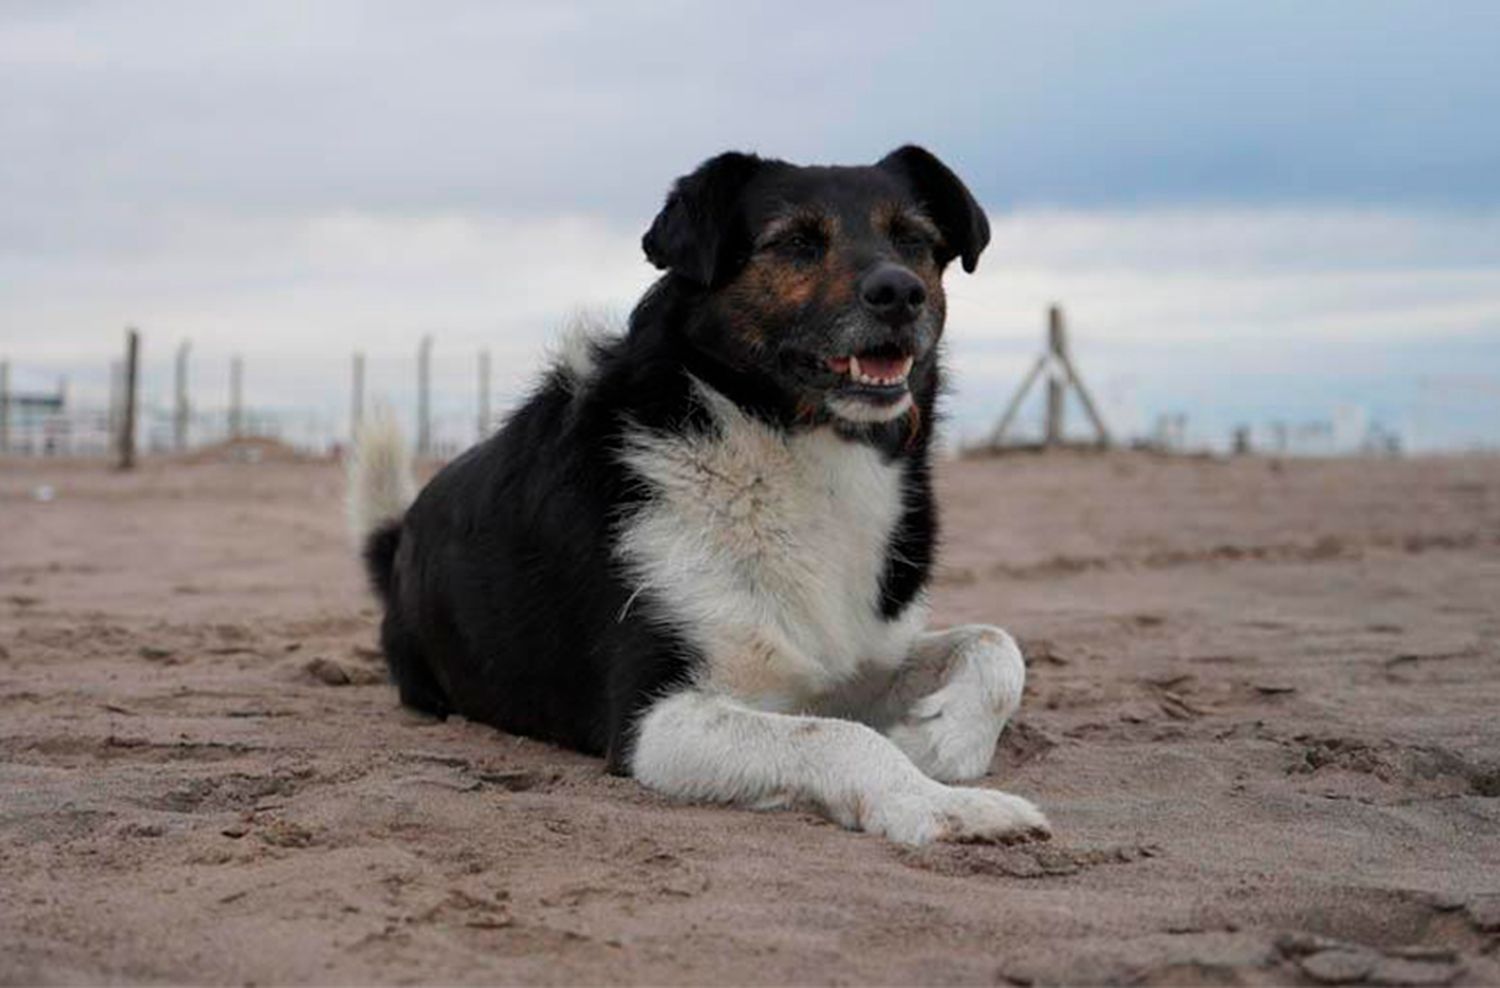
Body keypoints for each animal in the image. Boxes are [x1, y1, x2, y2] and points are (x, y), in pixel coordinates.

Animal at [351, 146, 1050, 851]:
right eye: (795, 242)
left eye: (913, 240)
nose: (900, 291)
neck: (775, 442)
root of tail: (400, 536)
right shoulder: (655, 720)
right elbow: (839, 737)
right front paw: (939, 805)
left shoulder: (854, 660)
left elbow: (996, 644)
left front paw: (942, 739)